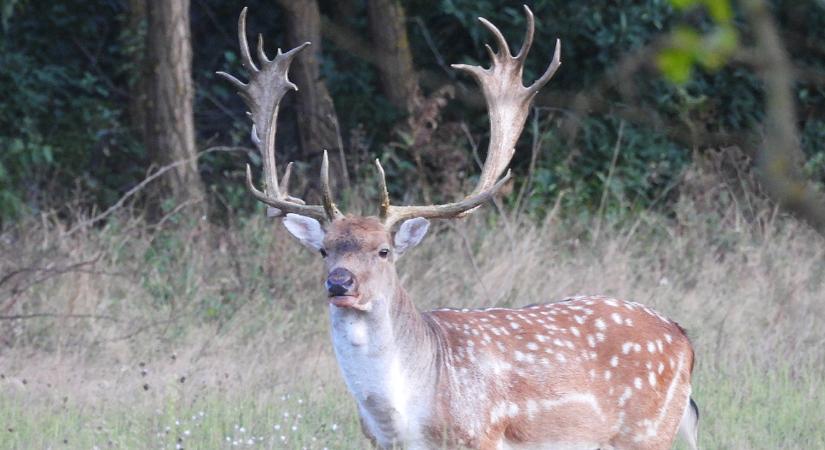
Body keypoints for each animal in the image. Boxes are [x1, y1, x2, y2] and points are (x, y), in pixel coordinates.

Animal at [217, 6, 696, 450]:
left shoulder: (481, 434)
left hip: (646, 430)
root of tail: (683, 338)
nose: (339, 282)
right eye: (325, 250)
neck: (405, 420)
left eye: (384, 251)